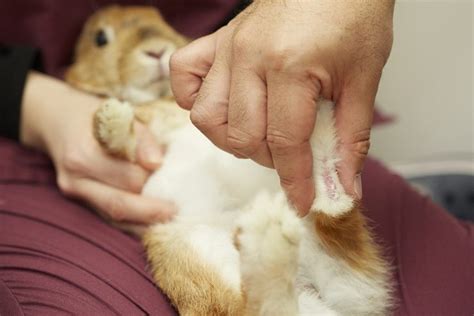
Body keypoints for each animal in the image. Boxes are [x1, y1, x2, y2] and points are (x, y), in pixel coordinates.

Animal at [65, 5, 392, 316]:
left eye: (160, 19)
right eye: (100, 38)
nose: (157, 50)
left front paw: (112, 117)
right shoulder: (150, 141)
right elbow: (125, 144)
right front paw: (110, 117)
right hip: (195, 257)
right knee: (265, 304)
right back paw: (270, 231)